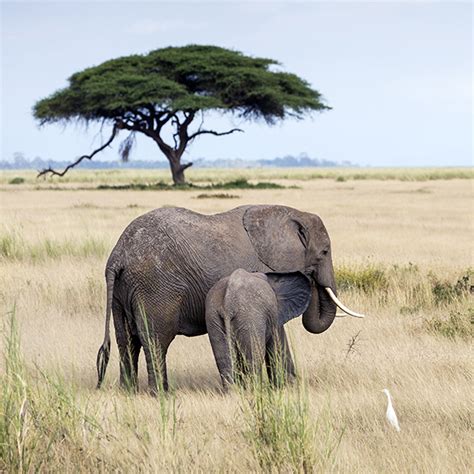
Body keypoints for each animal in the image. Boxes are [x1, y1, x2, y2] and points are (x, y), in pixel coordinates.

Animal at [96, 205, 362, 392]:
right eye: (324, 252)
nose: (313, 279)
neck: (290, 214)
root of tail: (117, 256)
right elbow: (277, 329)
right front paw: (289, 386)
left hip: (122, 292)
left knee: (127, 342)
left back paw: (129, 392)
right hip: (156, 287)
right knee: (156, 340)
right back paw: (160, 394)